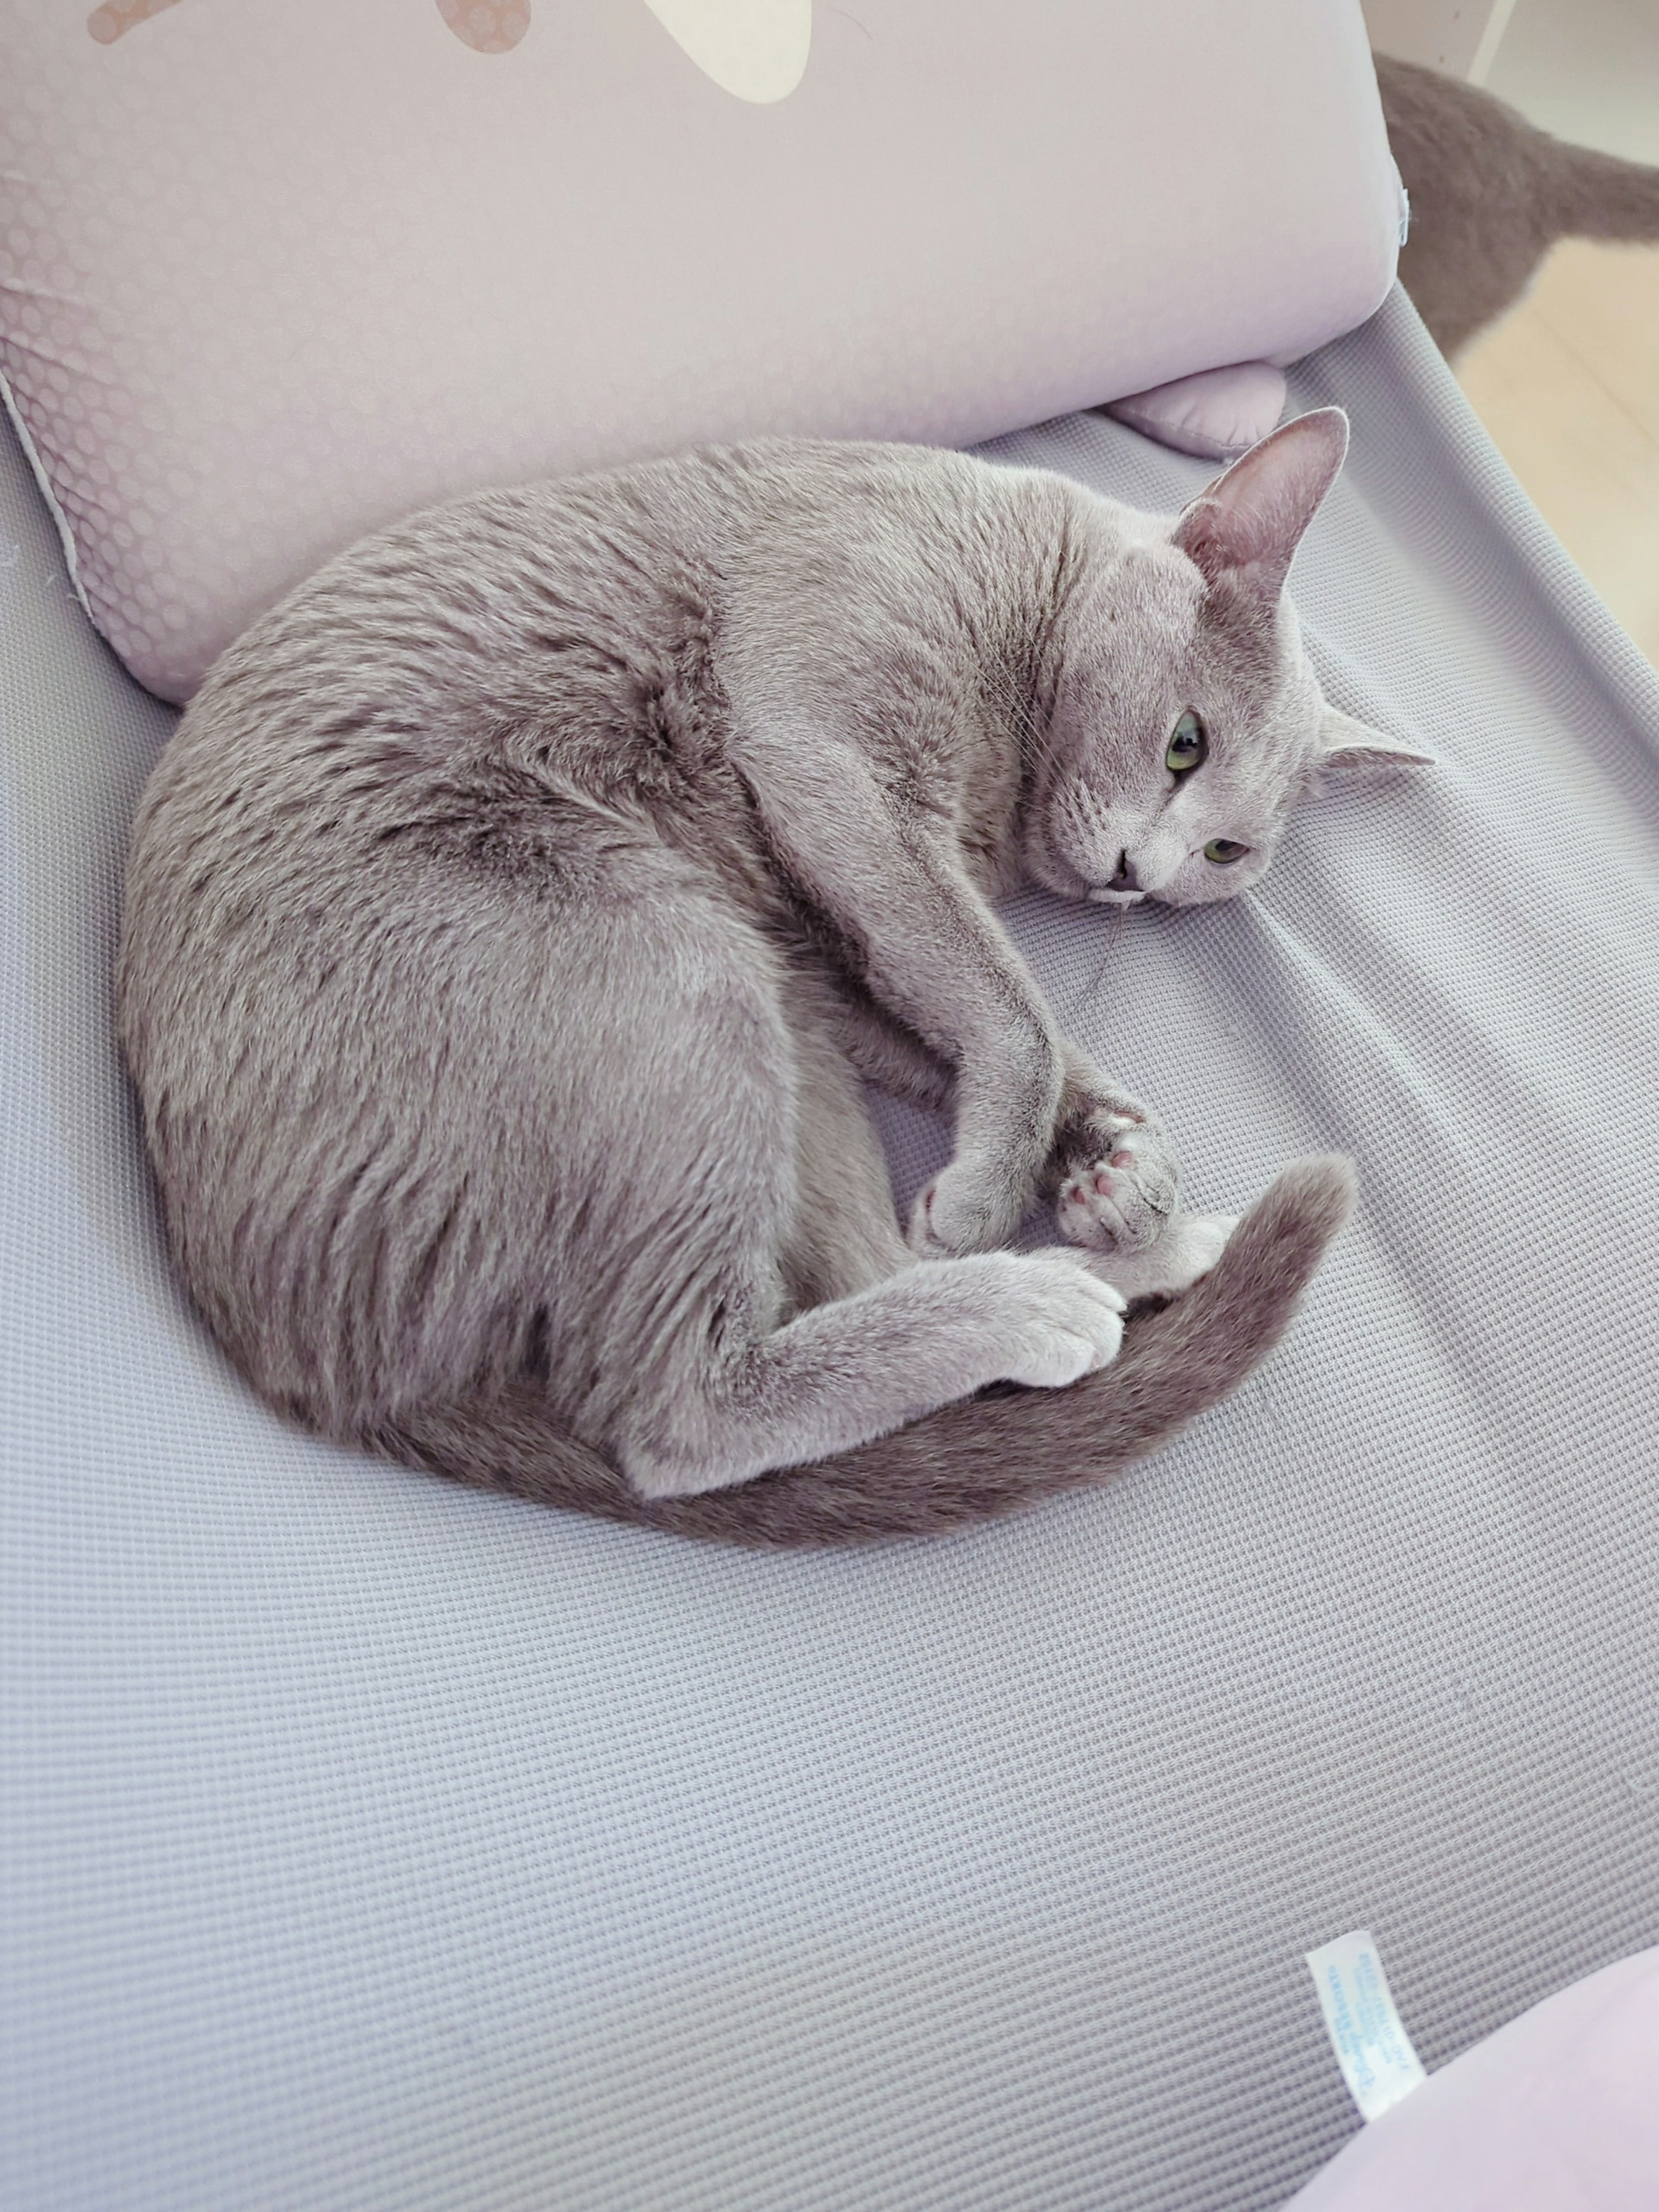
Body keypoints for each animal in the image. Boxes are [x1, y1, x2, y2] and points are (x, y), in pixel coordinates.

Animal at [117, 418, 1424, 1557]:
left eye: (1226, 854)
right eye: (1183, 746)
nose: (1138, 878)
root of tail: (319, 1370)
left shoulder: (820, 944)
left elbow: (983, 1019)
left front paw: (1118, 1167)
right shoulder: (833, 767)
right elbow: (1009, 1004)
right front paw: (1005, 1182)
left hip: (771, 1018)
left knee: (848, 1277)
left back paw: (1137, 1266)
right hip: (669, 963)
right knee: (673, 1409)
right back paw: (1038, 1303)